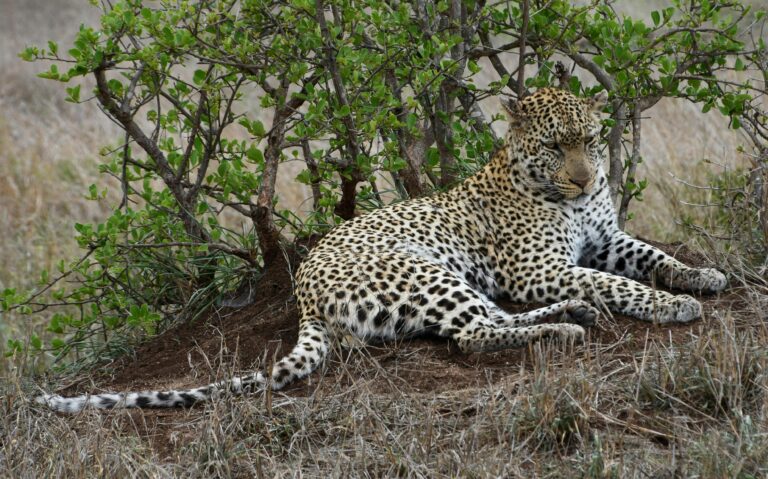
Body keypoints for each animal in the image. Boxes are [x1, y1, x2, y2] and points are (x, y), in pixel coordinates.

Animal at [37, 88, 727, 413]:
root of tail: (303, 291)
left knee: (488, 322)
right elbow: (617, 282)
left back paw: (573, 317)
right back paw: (567, 328)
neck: (569, 199)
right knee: (475, 334)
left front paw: (701, 276)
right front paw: (671, 306)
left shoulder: (606, 239)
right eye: (556, 146)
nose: (584, 179)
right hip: (425, 271)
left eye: (588, 139)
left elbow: (650, 259)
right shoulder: (540, 268)